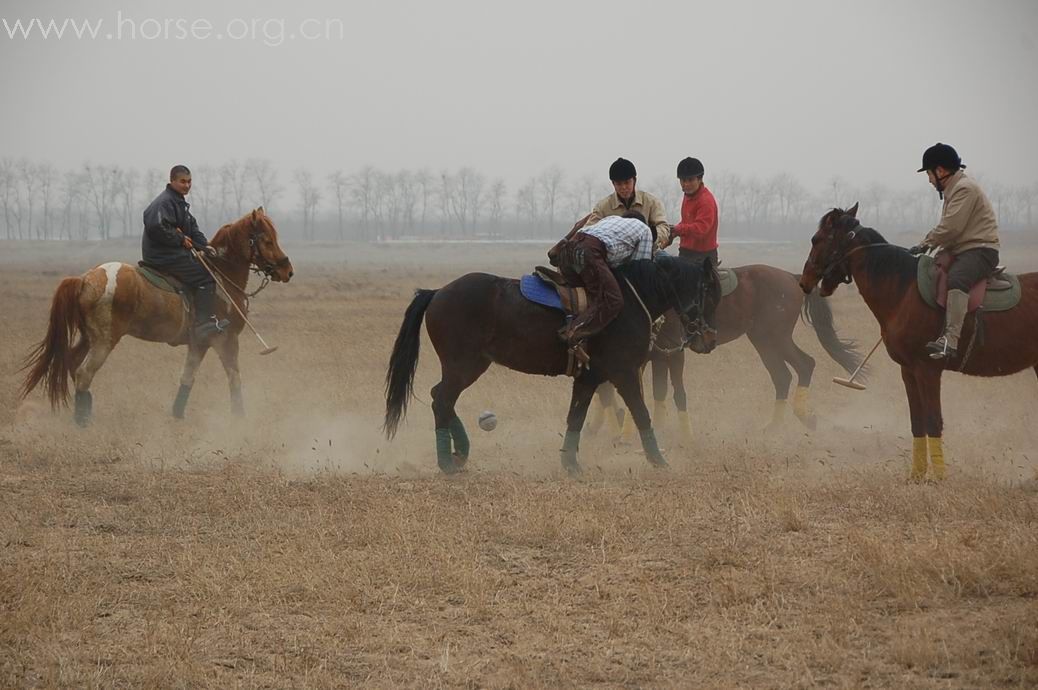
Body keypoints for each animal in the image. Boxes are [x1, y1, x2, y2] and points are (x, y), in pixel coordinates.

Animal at [21, 208, 296, 425]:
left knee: (72, 361)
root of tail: (85, 279)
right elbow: (234, 378)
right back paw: (82, 420)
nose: (288, 271)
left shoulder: (199, 343)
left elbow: (188, 376)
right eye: (267, 240)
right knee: (84, 372)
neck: (221, 276)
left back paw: (84, 410)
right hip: (104, 341)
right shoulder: (225, 340)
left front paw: (177, 414)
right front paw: (240, 417)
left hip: (88, 337)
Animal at [384, 255, 722, 477]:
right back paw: (447, 463)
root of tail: (437, 293)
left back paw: (460, 454)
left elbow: (576, 417)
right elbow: (640, 413)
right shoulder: (623, 373)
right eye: (710, 295)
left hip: (465, 367)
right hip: (463, 367)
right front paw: (658, 460)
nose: (709, 339)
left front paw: (570, 464)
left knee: (438, 397)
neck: (628, 300)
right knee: (442, 400)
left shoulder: (590, 377)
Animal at [589, 263, 863, 435]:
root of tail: (791, 277)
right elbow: (656, 391)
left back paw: (802, 416)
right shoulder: (658, 355)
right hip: (763, 341)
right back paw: (775, 426)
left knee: (804, 365)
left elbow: (661, 392)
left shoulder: (669, 353)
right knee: (783, 376)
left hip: (774, 337)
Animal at [801, 202, 1038, 477]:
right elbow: (917, 423)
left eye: (817, 239)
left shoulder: (928, 369)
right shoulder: (909, 371)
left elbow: (933, 421)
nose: (804, 281)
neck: (904, 291)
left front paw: (939, 478)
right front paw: (917, 476)